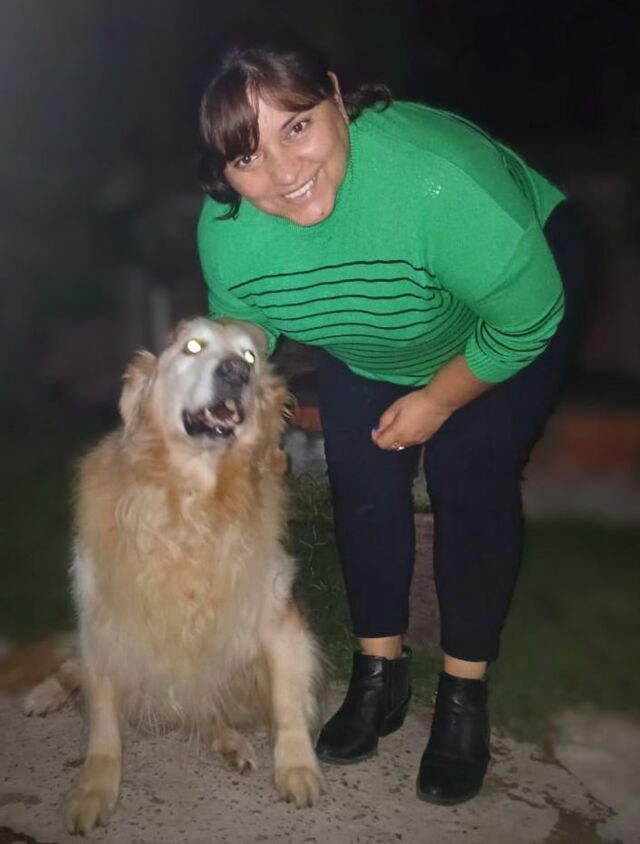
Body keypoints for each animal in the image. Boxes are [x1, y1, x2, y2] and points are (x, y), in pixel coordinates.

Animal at [25, 318, 326, 833]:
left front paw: (297, 768)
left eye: (250, 356)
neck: (191, 502)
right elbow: (103, 731)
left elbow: (289, 702)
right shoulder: (105, 620)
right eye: (192, 346)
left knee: (203, 709)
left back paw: (229, 742)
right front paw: (93, 789)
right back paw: (45, 693)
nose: (235, 372)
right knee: (72, 669)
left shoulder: (280, 621)